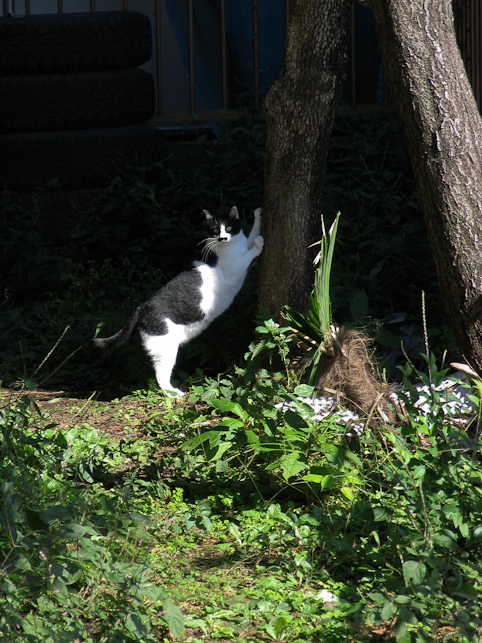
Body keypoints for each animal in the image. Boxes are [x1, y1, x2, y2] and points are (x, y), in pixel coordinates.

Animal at [92, 209, 262, 394]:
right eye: (216, 230)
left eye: (229, 228)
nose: (222, 238)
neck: (231, 247)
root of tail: (140, 307)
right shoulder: (236, 267)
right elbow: (250, 253)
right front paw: (260, 243)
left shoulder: (242, 245)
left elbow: (252, 235)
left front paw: (258, 216)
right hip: (166, 348)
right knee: (161, 376)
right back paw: (175, 394)